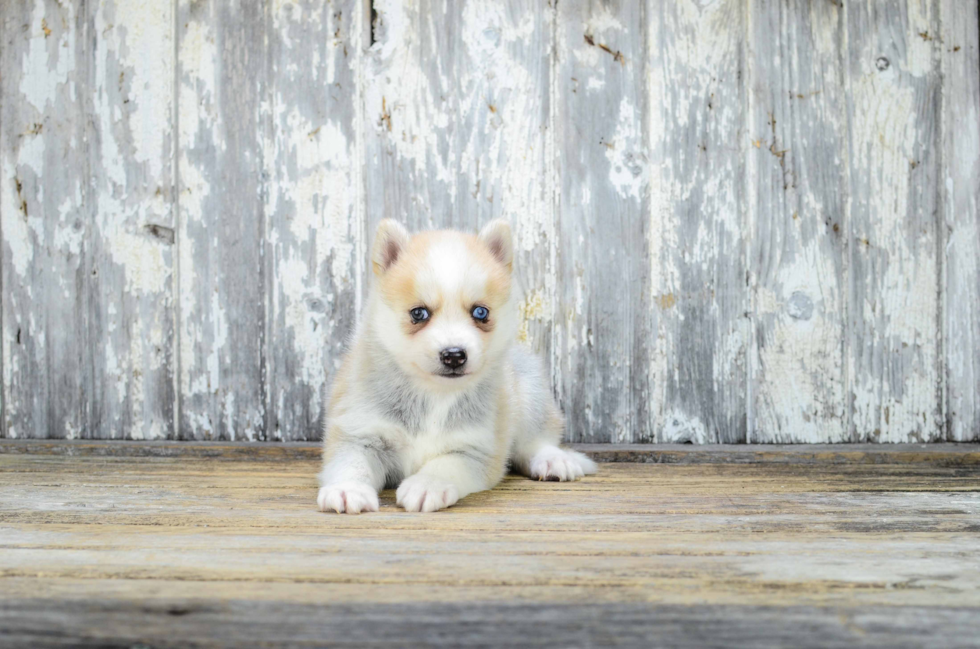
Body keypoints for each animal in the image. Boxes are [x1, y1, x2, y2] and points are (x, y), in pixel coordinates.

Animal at [320, 220, 596, 512]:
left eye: (480, 312)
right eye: (418, 313)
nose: (454, 355)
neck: (433, 395)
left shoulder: (475, 449)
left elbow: (445, 465)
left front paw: (426, 484)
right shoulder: (359, 433)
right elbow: (351, 463)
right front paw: (347, 489)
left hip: (530, 395)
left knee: (537, 439)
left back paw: (554, 460)